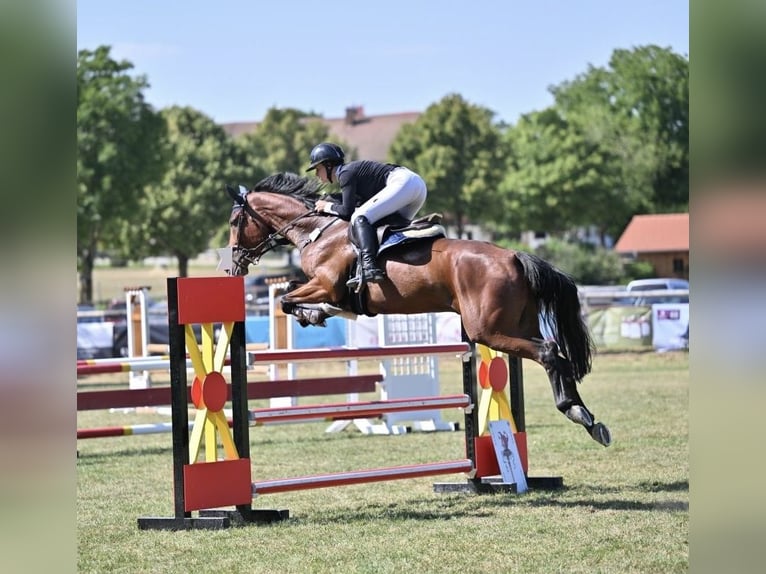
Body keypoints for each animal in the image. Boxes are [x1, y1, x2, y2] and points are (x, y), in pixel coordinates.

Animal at [226, 173, 611, 447]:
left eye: (234, 223)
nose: (232, 267)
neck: (318, 230)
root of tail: (514, 255)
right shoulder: (328, 289)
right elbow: (294, 294)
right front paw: (318, 314)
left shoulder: (326, 283)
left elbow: (287, 299)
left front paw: (311, 315)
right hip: (516, 324)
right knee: (556, 355)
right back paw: (587, 418)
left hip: (489, 330)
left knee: (549, 351)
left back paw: (577, 413)